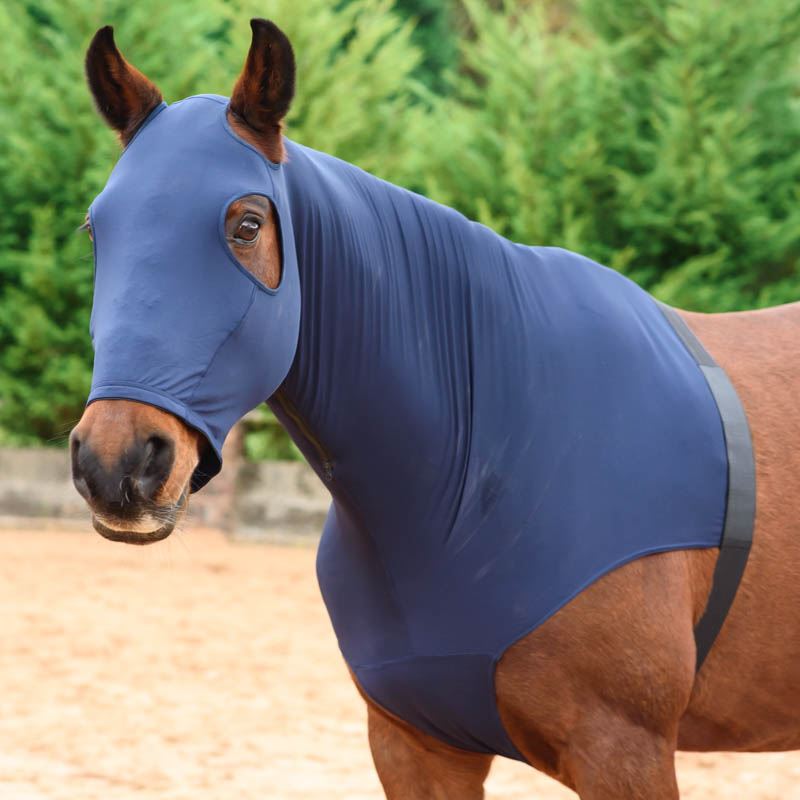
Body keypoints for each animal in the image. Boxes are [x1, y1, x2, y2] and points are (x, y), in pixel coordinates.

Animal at [70, 19, 800, 799]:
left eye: (246, 224)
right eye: (97, 230)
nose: (117, 462)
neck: (486, 456)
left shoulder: (623, 751)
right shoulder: (415, 746)